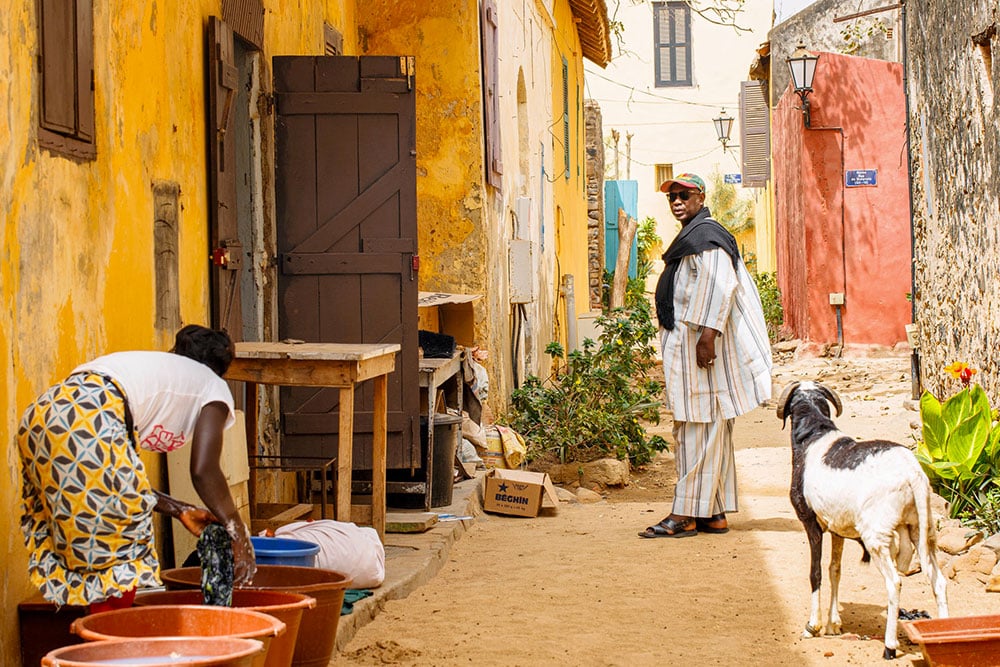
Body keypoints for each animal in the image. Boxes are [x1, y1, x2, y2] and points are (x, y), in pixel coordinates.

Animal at [776, 384, 948, 660]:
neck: (814, 434)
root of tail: (912, 472)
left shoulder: (811, 523)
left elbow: (815, 572)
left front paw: (813, 626)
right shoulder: (837, 528)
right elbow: (835, 570)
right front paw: (834, 624)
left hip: (876, 537)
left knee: (894, 583)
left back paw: (890, 647)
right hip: (923, 530)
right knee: (939, 582)